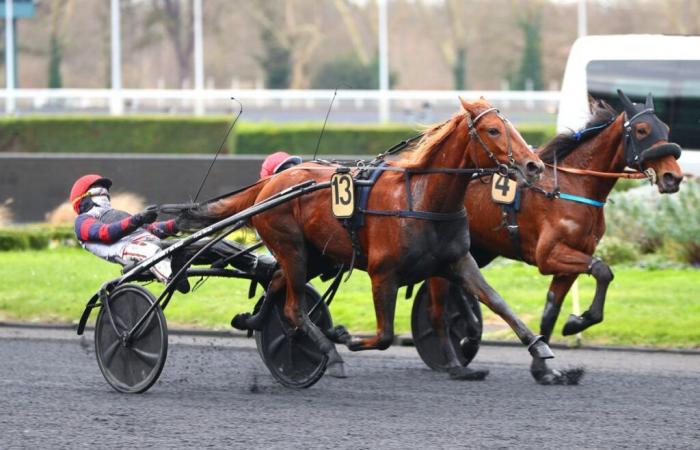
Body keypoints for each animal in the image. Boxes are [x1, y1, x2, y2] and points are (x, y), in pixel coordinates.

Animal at [176, 97, 548, 380]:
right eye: (493, 130)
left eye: (512, 126)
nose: (534, 166)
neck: (421, 199)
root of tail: (268, 186)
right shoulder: (383, 274)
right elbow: (385, 335)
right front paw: (346, 337)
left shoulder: (457, 261)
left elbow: (498, 302)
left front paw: (540, 350)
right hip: (292, 247)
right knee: (294, 307)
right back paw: (329, 353)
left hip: (316, 255)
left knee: (278, 282)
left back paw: (255, 320)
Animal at [424, 90, 680, 384]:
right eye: (642, 130)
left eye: (666, 128)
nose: (673, 177)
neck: (572, 186)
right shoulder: (550, 255)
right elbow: (602, 270)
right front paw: (576, 323)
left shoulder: (571, 260)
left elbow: (551, 311)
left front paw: (545, 369)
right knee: (439, 309)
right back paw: (456, 359)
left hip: (480, 250)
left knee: (464, 287)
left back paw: (472, 333)